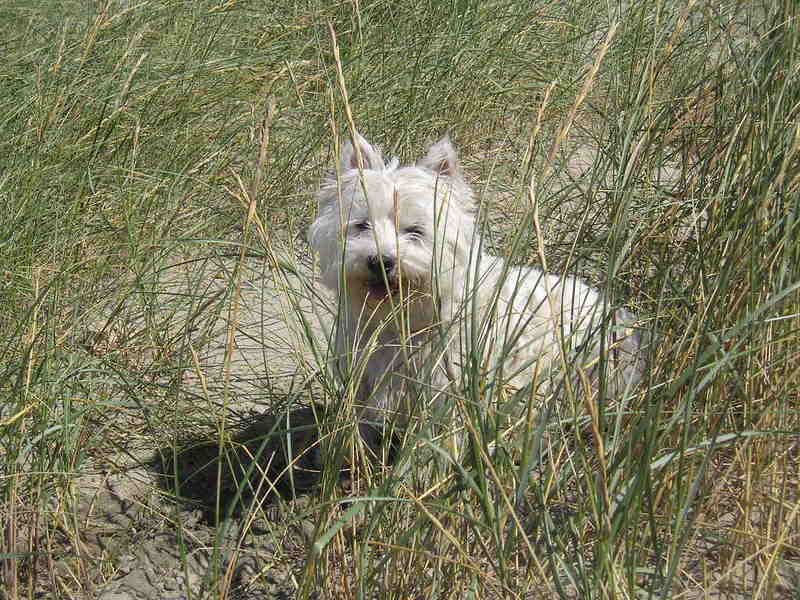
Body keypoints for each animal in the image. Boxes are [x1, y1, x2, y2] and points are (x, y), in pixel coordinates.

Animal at [310, 134, 648, 438]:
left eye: (415, 231)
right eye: (361, 225)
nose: (381, 261)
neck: (405, 321)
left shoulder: (449, 394)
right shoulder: (365, 380)